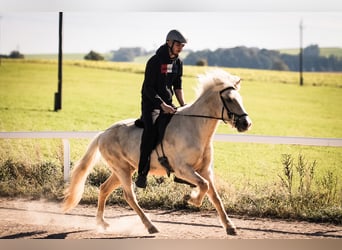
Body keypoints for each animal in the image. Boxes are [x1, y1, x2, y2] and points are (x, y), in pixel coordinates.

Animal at [62, 69, 251, 235]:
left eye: (240, 98)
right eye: (229, 99)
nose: (246, 123)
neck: (195, 128)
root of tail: (103, 134)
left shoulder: (205, 170)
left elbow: (214, 195)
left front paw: (230, 227)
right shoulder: (183, 170)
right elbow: (203, 185)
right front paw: (190, 198)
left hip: (124, 169)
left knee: (104, 189)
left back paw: (102, 223)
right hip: (122, 170)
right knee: (129, 197)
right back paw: (150, 226)